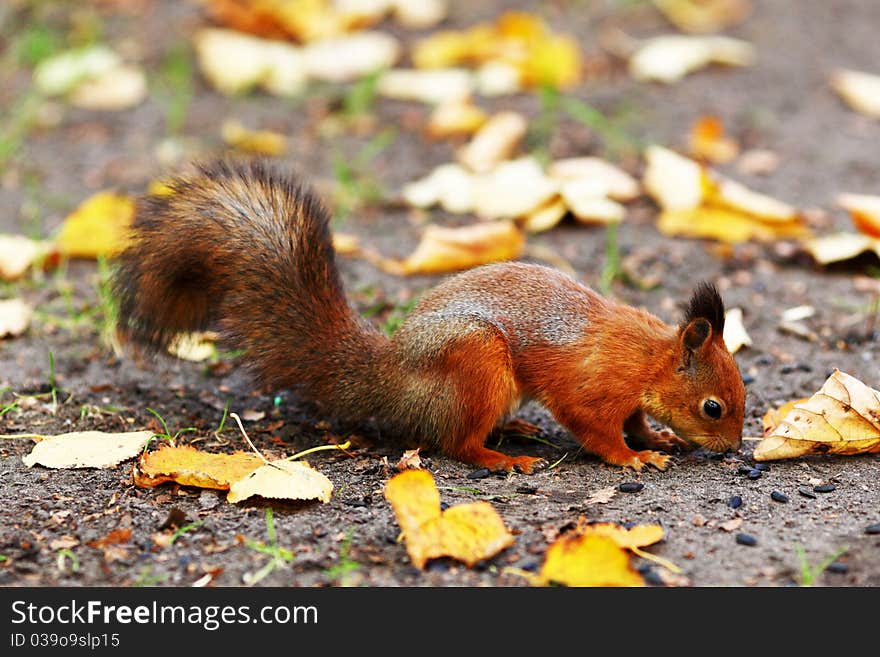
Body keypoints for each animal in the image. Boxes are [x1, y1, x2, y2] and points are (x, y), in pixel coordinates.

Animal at [113, 161, 744, 474]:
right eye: (713, 407)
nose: (733, 450)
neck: (650, 357)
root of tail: (391, 378)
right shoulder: (595, 387)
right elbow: (596, 429)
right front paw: (634, 457)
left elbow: (635, 420)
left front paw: (655, 437)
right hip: (477, 361)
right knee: (456, 444)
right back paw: (503, 458)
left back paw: (513, 430)